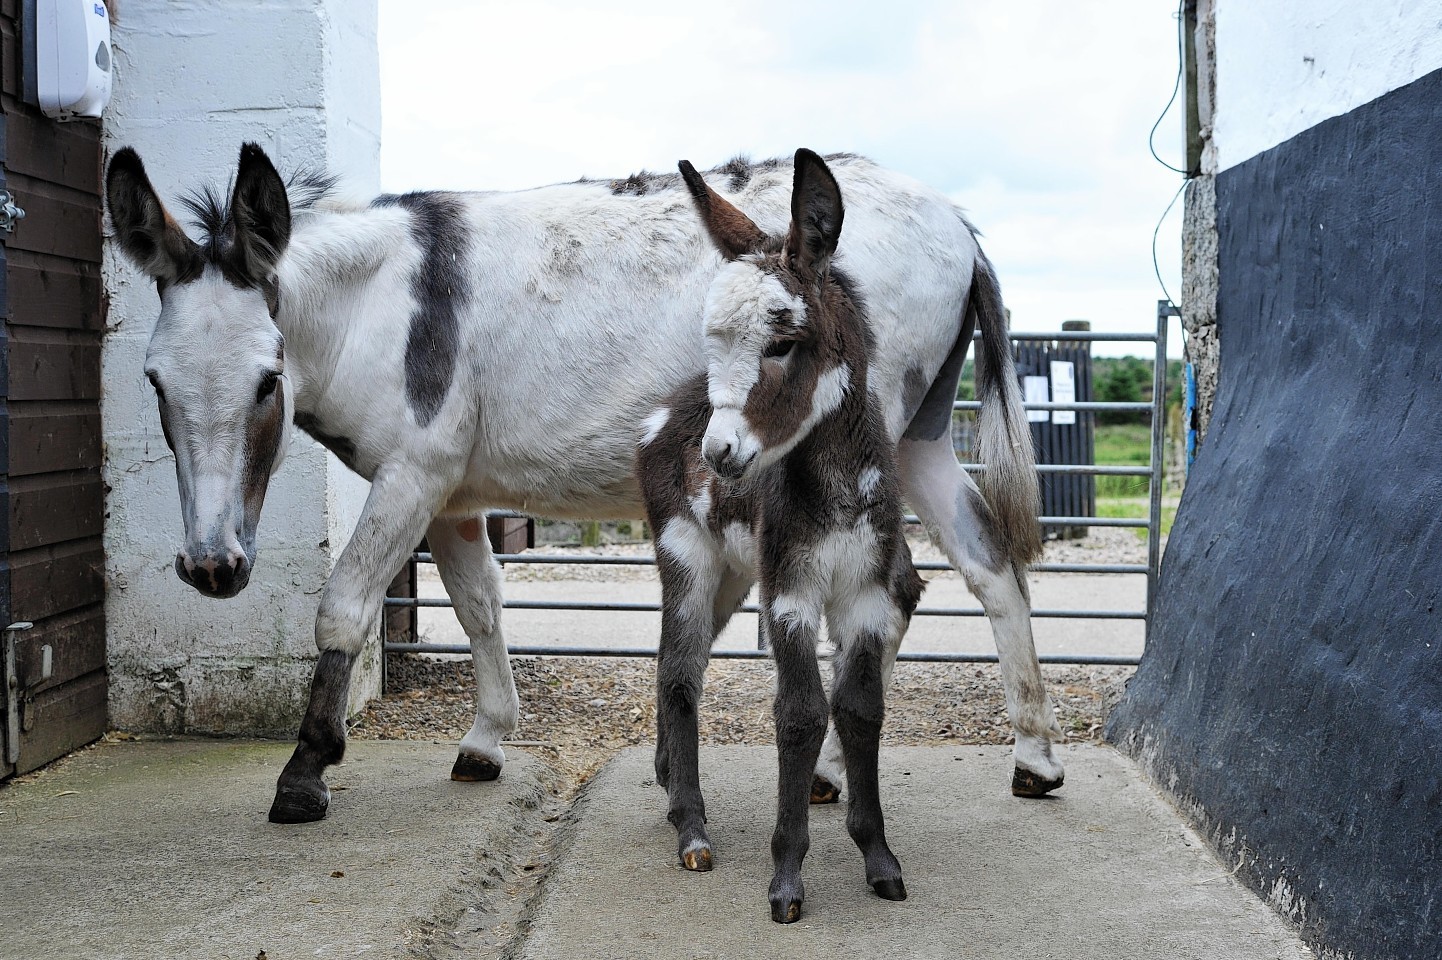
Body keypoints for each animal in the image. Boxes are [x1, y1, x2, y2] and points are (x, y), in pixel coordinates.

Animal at [640, 147, 922, 922]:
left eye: (783, 343)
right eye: (713, 340)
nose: (720, 454)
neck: (839, 485)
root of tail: (671, 409)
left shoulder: (865, 594)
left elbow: (859, 710)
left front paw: (879, 859)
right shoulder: (791, 593)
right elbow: (799, 714)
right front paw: (787, 876)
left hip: (737, 574)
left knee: (683, 662)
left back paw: (671, 787)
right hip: (687, 556)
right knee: (679, 674)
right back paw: (693, 832)